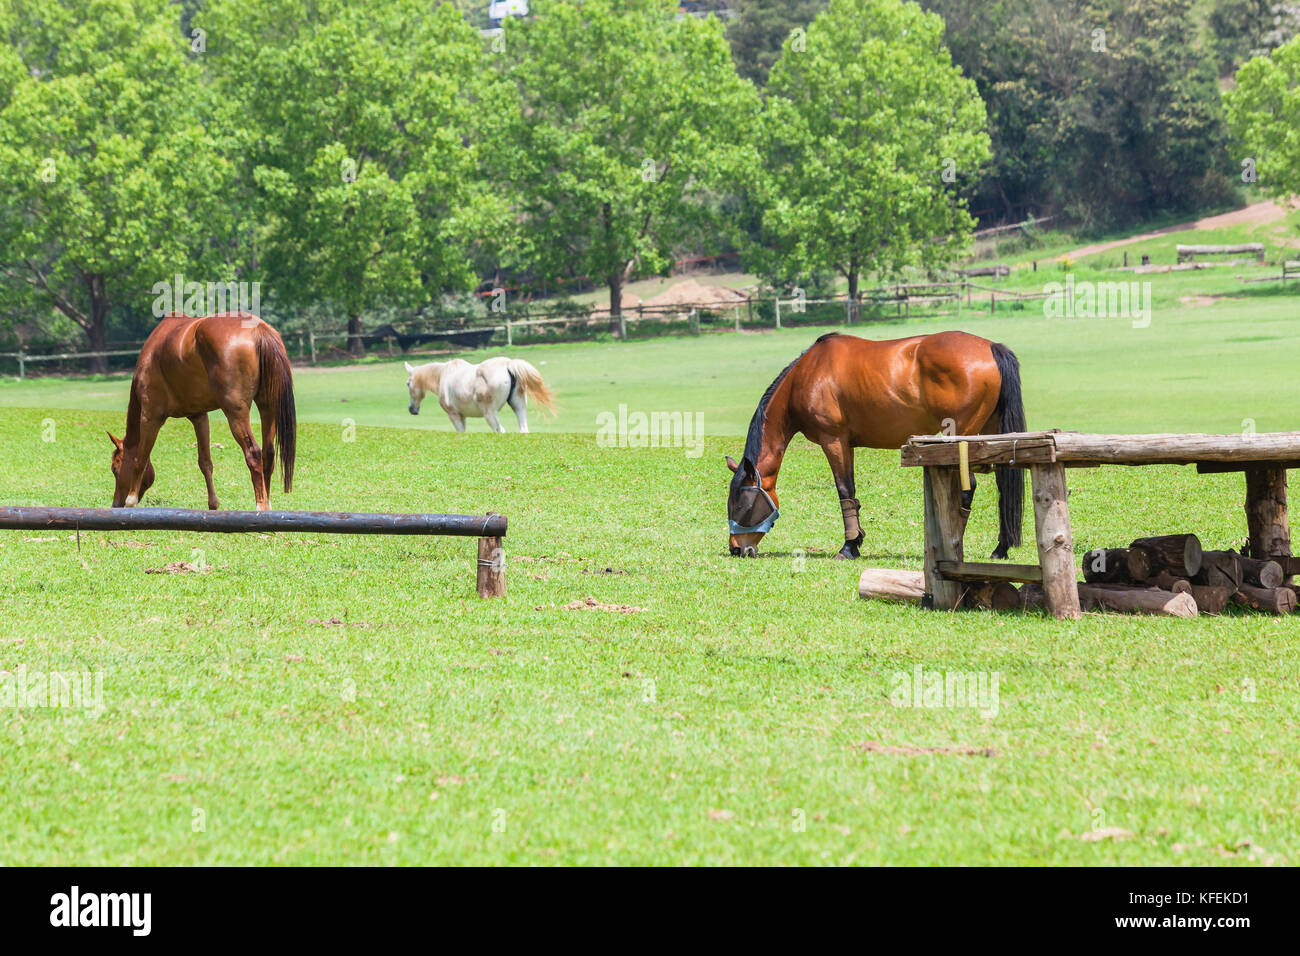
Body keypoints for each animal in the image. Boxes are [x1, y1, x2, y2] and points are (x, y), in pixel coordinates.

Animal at [108, 312, 297, 511]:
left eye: (115, 469)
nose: (115, 504)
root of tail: (258, 329)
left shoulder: (150, 417)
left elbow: (140, 459)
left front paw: (131, 500)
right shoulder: (199, 417)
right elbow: (205, 462)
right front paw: (213, 503)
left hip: (236, 414)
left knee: (253, 453)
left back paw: (261, 505)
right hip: (267, 406)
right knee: (268, 453)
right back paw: (267, 502)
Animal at [405, 356, 555, 432]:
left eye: (408, 384)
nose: (411, 409)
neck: (444, 374)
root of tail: (508, 364)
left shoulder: (454, 415)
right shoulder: (462, 416)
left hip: (490, 414)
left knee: (499, 430)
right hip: (519, 407)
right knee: (523, 429)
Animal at [725, 331, 1026, 560]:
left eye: (742, 505)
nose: (736, 549)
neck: (808, 374)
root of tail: (991, 347)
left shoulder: (833, 441)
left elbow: (844, 491)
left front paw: (848, 547)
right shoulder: (847, 444)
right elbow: (852, 494)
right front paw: (856, 542)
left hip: (960, 440)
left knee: (968, 487)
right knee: (1002, 482)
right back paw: (1000, 548)